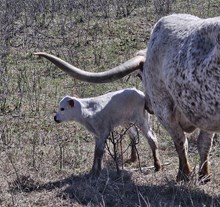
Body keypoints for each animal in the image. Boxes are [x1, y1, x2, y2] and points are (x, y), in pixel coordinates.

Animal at [35, 13, 219, 181]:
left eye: (139, 74)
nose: (148, 105)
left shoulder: (164, 110)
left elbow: (181, 142)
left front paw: (183, 175)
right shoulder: (203, 116)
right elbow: (203, 144)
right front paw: (204, 175)